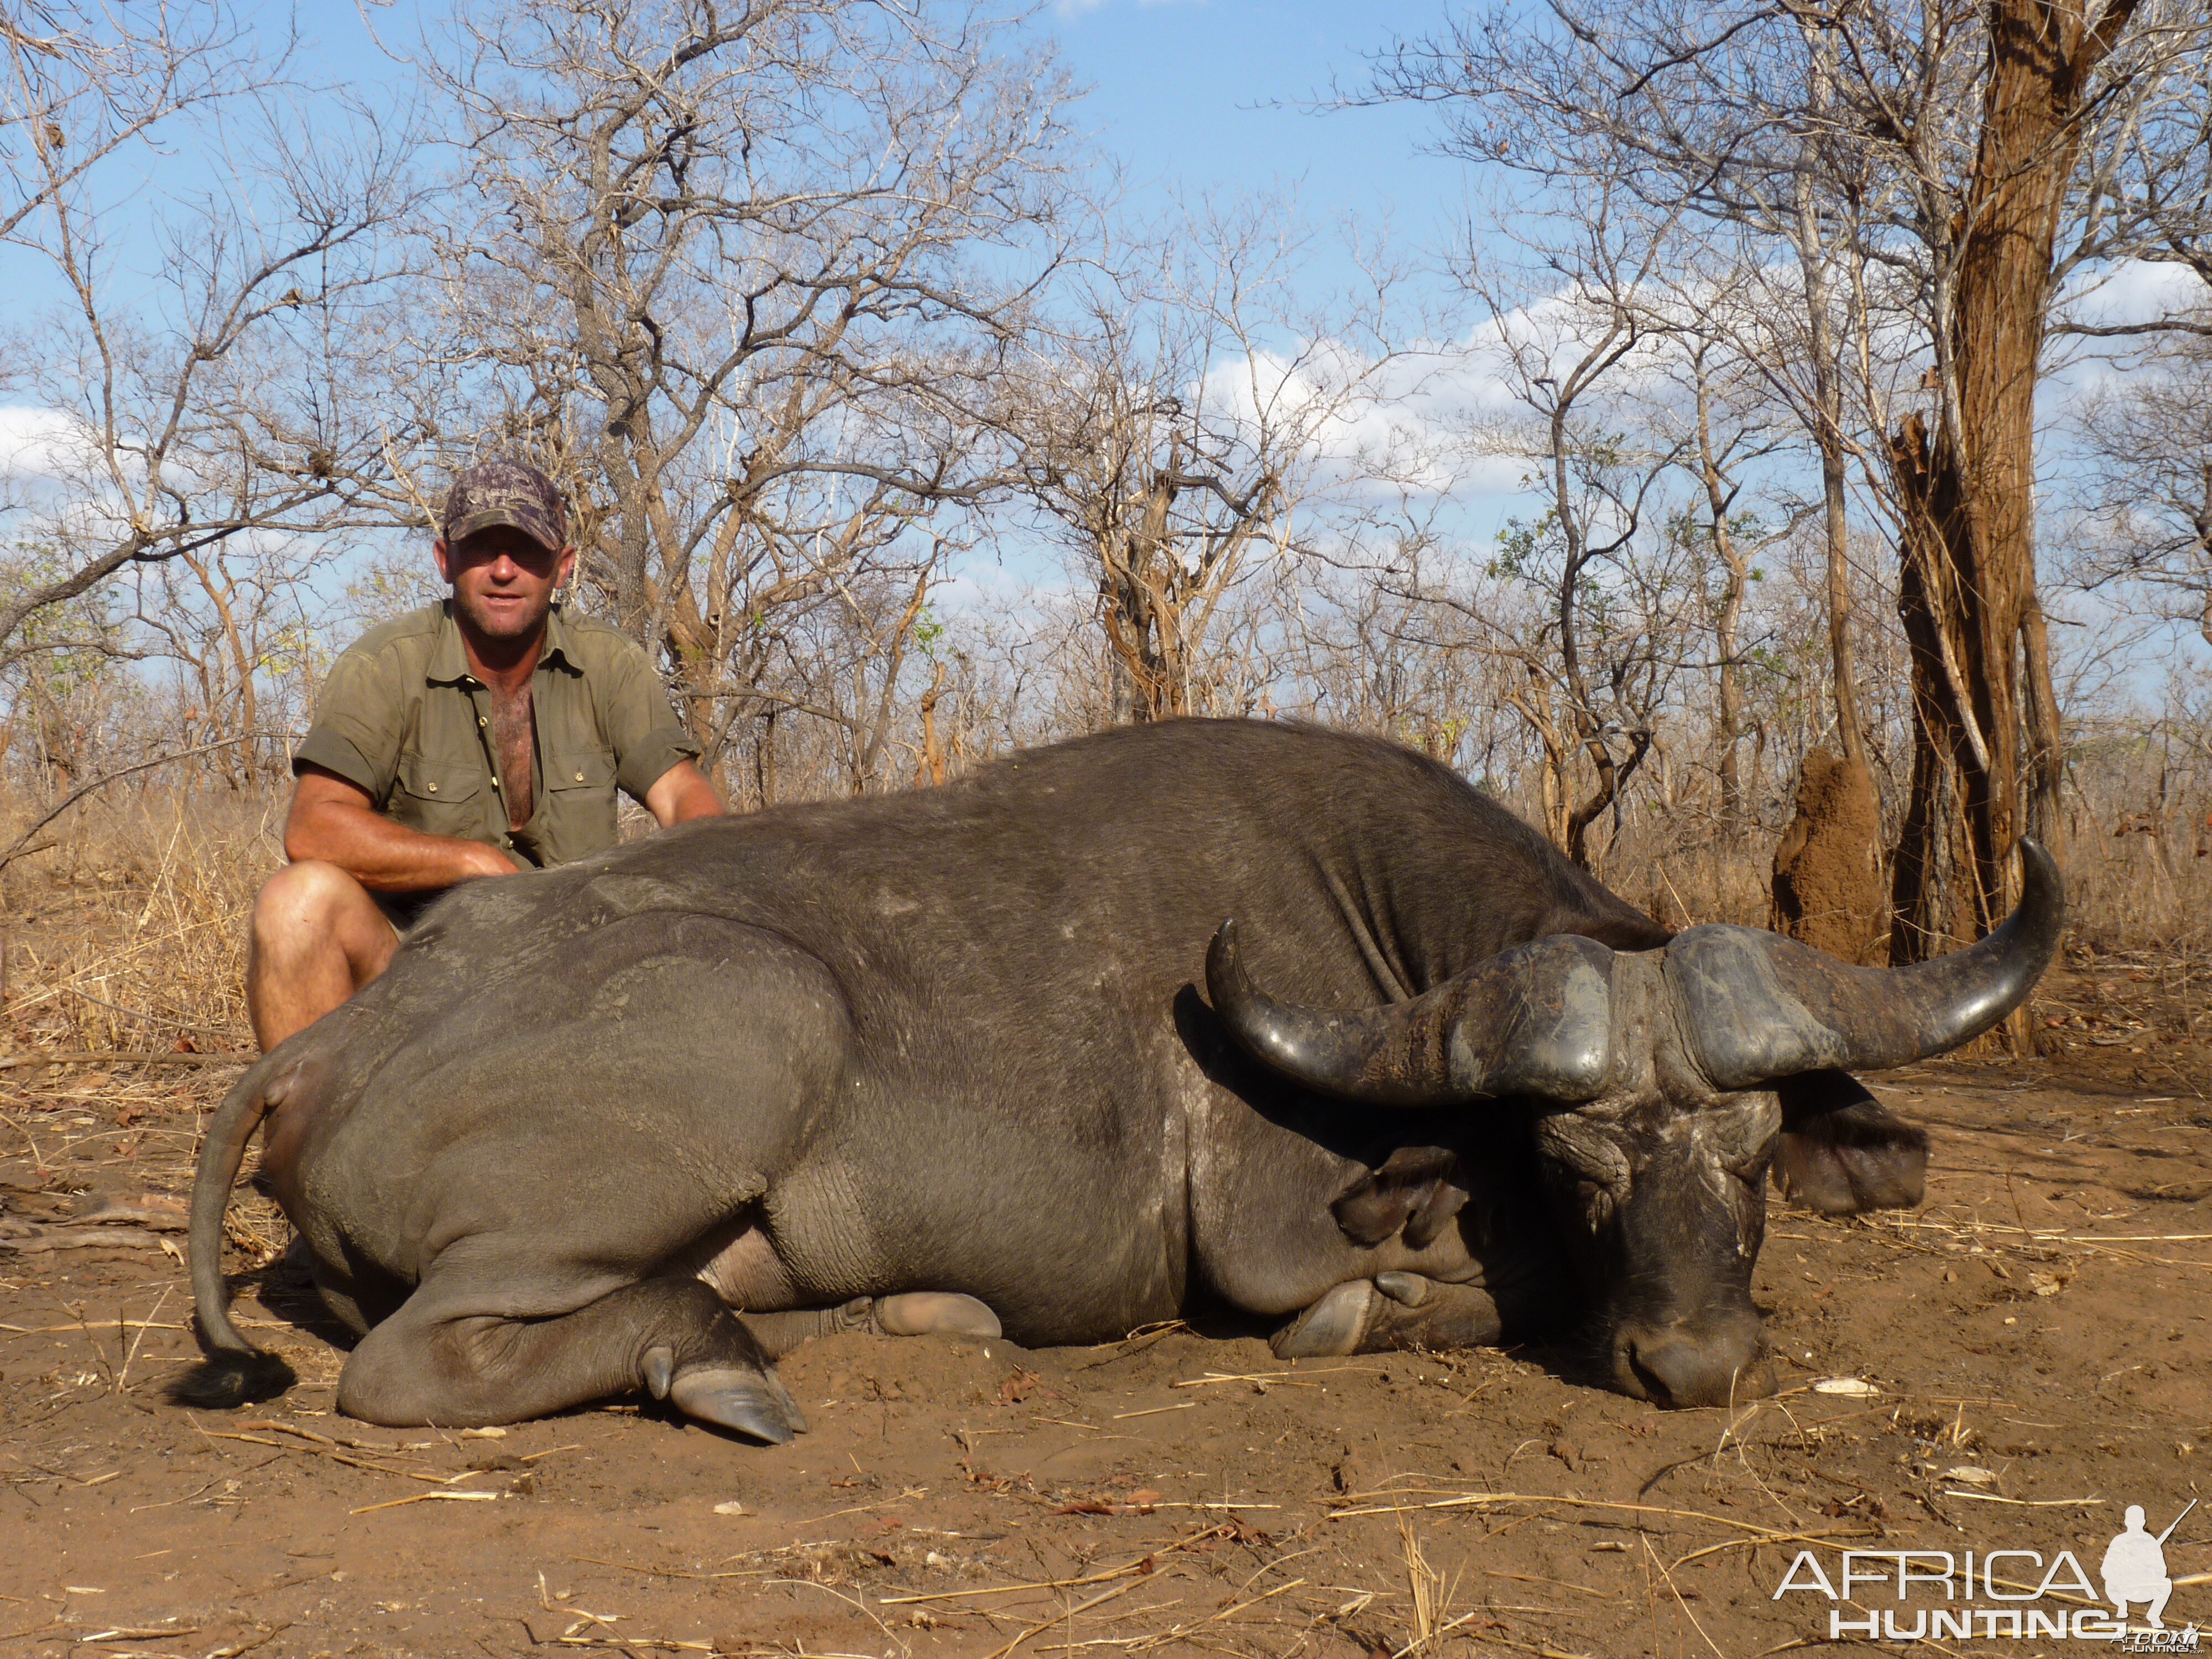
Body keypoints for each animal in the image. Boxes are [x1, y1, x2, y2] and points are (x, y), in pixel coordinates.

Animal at [186, 721, 2053, 1433]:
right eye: (1576, 1158)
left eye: (1750, 1155)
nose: (1696, 1363)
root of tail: (342, 1038)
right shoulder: (1283, 1241)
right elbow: (1427, 1290)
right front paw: (1390, 1309)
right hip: (753, 1018)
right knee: (418, 1362)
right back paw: (710, 1368)